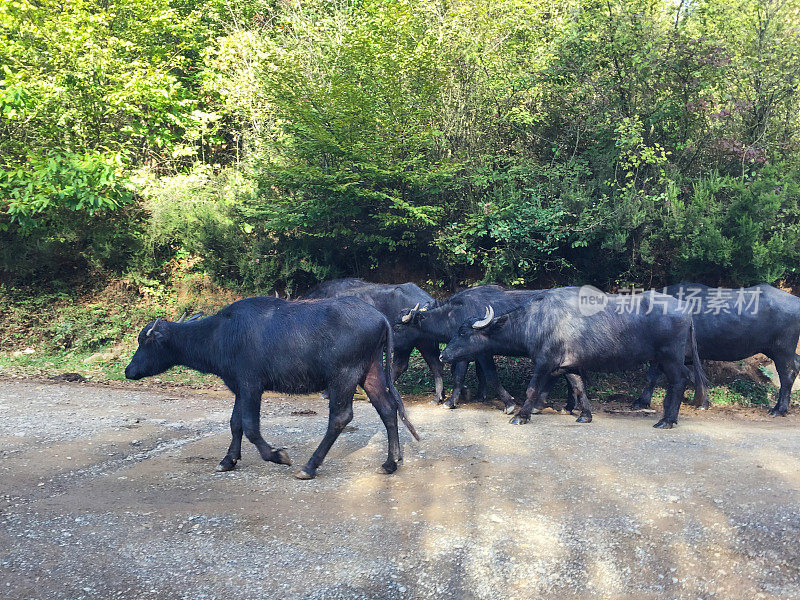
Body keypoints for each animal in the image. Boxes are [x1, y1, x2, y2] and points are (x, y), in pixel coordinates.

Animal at [123, 298, 418, 480]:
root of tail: (381, 318)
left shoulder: (252, 385)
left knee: (341, 417)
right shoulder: (239, 388)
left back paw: (309, 466)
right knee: (388, 409)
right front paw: (228, 460)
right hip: (370, 372)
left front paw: (278, 455)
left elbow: (251, 427)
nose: (128, 371)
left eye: (145, 342)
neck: (221, 335)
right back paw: (390, 463)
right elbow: (235, 424)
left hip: (344, 376)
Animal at [398, 286, 560, 412]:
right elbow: (478, 373)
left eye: (398, 327)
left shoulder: (477, 354)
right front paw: (477, 395)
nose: (393, 345)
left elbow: (478, 375)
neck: (453, 315)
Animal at [440, 288, 708, 428]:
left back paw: (667, 420)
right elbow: (579, 389)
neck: (535, 322)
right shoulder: (570, 366)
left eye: (462, 332)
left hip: (670, 358)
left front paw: (521, 415)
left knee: (680, 380)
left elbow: (532, 389)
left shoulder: (544, 362)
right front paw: (585, 415)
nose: (443, 354)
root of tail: (686, 312)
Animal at [636, 282, 800, 414]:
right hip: (775, 349)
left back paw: (779, 409)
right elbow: (695, 376)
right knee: (796, 364)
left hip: (782, 350)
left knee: (788, 373)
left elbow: (652, 377)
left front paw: (642, 401)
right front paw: (703, 402)